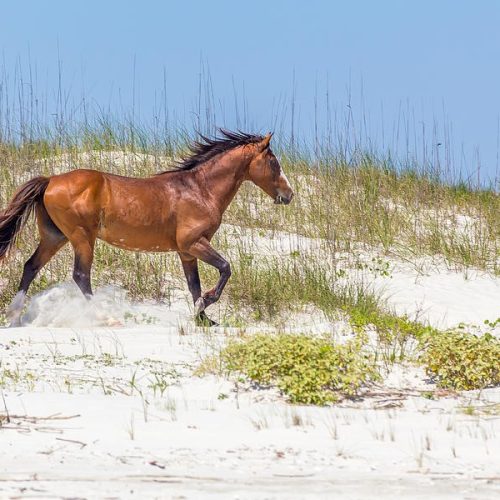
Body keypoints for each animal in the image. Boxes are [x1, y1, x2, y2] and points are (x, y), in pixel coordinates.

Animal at [0, 129, 294, 326]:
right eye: (273, 161)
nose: (289, 195)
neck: (200, 190)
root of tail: (50, 180)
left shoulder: (186, 252)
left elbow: (194, 285)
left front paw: (202, 318)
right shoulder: (194, 243)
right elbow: (225, 268)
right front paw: (207, 303)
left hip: (55, 236)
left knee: (31, 266)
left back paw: (13, 316)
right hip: (82, 237)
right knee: (81, 275)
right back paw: (105, 318)